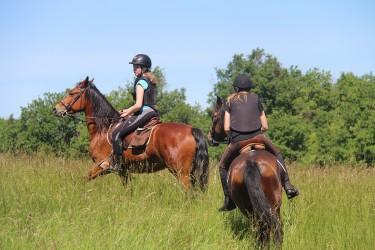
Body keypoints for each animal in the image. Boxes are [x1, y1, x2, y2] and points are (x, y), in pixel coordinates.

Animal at [54, 76, 210, 189]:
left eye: (71, 93)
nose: (56, 109)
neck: (103, 129)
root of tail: (191, 129)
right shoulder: (124, 171)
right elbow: (128, 190)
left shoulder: (103, 165)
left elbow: (83, 179)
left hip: (181, 171)